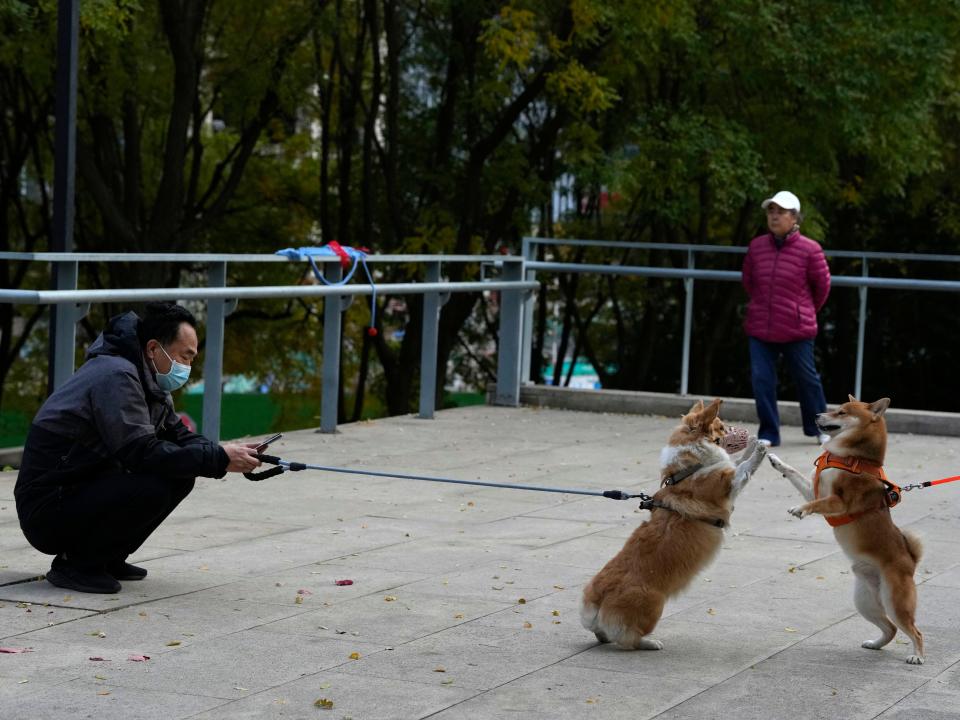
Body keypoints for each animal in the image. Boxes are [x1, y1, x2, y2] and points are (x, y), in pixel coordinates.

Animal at [576, 396, 764, 648]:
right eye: (722, 427)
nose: (746, 431)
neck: (687, 469)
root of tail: (597, 600)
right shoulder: (728, 483)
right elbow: (743, 467)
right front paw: (760, 448)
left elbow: (738, 461)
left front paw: (754, 445)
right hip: (655, 605)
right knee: (628, 638)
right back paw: (651, 643)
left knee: (604, 634)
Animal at [764, 396, 924, 668]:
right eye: (835, 408)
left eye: (841, 412)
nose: (816, 415)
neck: (853, 459)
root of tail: (910, 562)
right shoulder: (814, 489)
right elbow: (794, 474)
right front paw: (777, 461)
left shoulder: (838, 502)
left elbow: (815, 504)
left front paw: (800, 509)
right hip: (865, 602)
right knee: (890, 628)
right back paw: (875, 644)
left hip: (895, 601)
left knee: (915, 630)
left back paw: (917, 655)